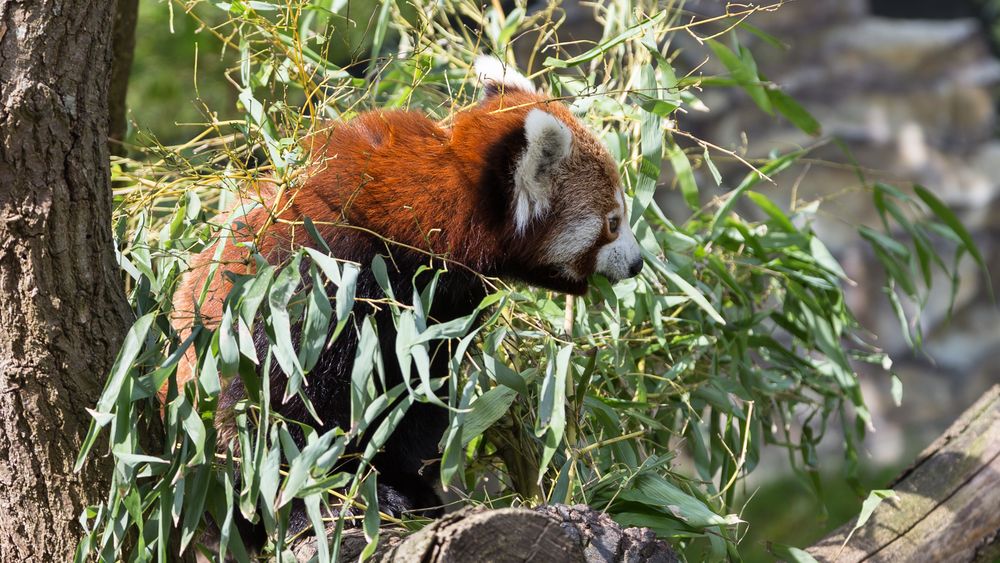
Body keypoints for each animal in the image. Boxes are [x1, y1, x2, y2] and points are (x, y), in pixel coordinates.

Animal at [166, 56, 640, 524]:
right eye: (613, 222)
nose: (637, 262)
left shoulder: (436, 310)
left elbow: (413, 396)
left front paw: (401, 485)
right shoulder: (317, 280)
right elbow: (283, 405)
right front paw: (321, 498)